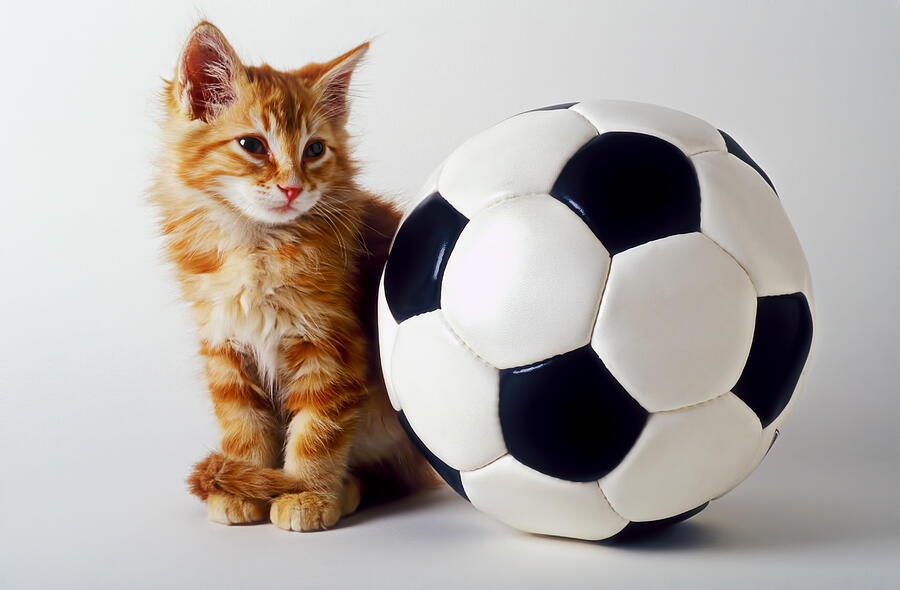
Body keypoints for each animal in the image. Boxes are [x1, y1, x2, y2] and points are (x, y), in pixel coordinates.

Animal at [150, 22, 436, 532]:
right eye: (253, 145)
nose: (292, 187)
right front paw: (244, 484)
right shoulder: (225, 346)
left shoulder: (331, 347)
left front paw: (305, 493)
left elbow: (316, 431)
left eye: (315, 150)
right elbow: (242, 426)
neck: (257, 247)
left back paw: (345, 490)